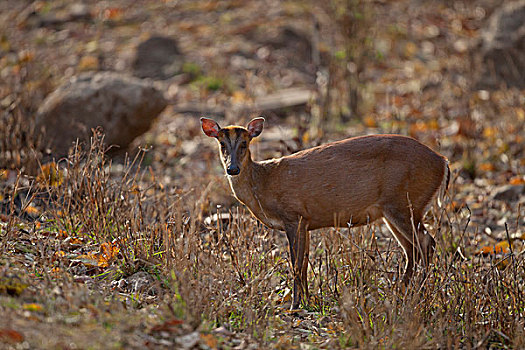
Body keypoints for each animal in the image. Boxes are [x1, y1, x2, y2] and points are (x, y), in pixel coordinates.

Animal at [199, 117, 448, 308]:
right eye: (222, 144)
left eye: (244, 143)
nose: (232, 168)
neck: (264, 183)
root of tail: (443, 162)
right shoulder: (306, 221)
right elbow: (304, 262)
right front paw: (307, 300)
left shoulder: (293, 215)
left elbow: (296, 263)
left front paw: (295, 305)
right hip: (393, 211)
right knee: (412, 249)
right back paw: (401, 292)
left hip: (404, 203)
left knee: (427, 243)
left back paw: (418, 293)